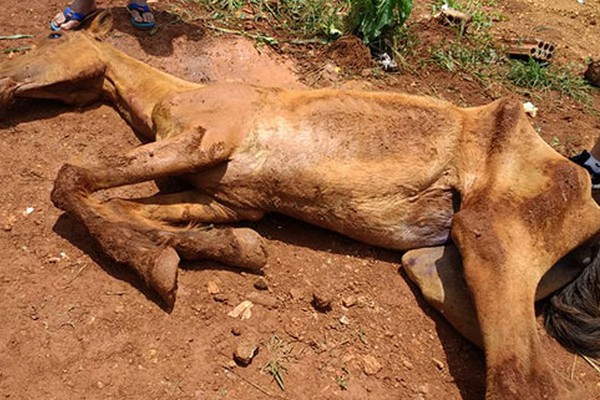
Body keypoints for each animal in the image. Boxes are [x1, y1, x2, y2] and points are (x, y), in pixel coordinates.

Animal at [1, 10, 600, 398]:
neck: (176, 93)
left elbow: (71, 181)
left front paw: (158, 264)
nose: (4, 80)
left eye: (48, 42)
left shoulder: (202, 141)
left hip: (490, 238)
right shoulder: (222, 199)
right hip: (440, 269)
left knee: (523, 381)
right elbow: (132, 210)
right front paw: (218, 252)